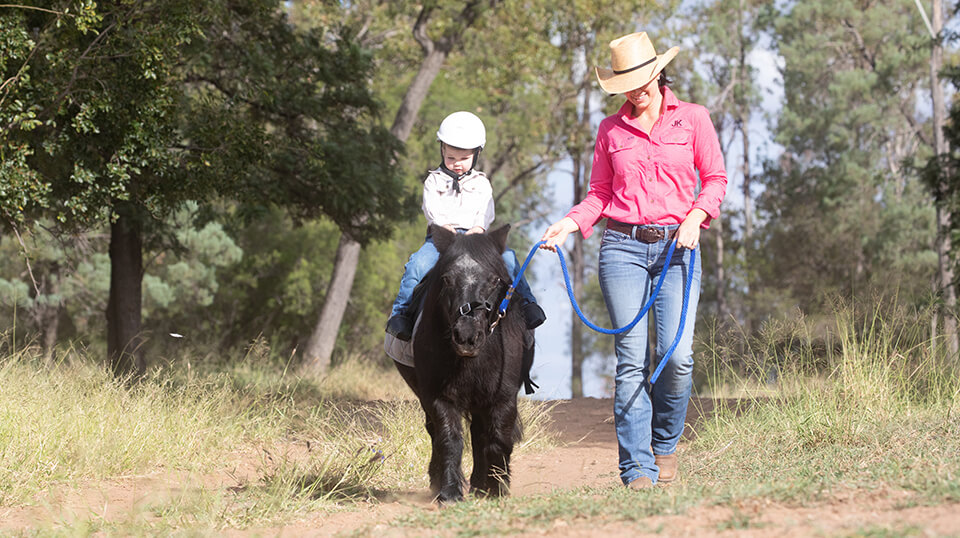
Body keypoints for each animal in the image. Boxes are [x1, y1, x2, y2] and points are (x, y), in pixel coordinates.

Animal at [394, 223, 536, 502]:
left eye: (494, 280)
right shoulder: (438, 396)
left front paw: (497, 488)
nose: (466, 336)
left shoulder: (503, 396)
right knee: (438, 433)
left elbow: (498, 439)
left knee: (481, 435)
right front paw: (449, 492)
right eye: (447, 279)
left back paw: (481, 485)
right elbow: (449, 439)